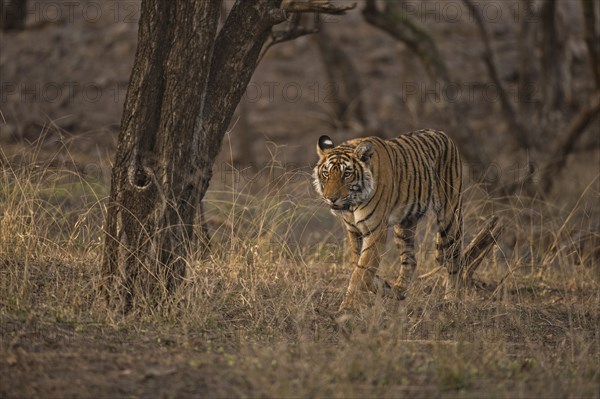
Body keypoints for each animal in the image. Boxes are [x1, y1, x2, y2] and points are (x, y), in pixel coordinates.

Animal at [314, 130, 464, 310]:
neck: (352, 204)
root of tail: (444, 135)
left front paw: (349, 305)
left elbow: (362, 269)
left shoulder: (375, 230)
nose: (331, 198)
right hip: (404, 227)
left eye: (347, 174)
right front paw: (381, 286)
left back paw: (452, 298)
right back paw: (397, 290)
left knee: (454, 260)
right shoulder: (353, 231)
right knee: (410, 260)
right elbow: (358, 263)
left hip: (450, 218)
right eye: (326, 173)